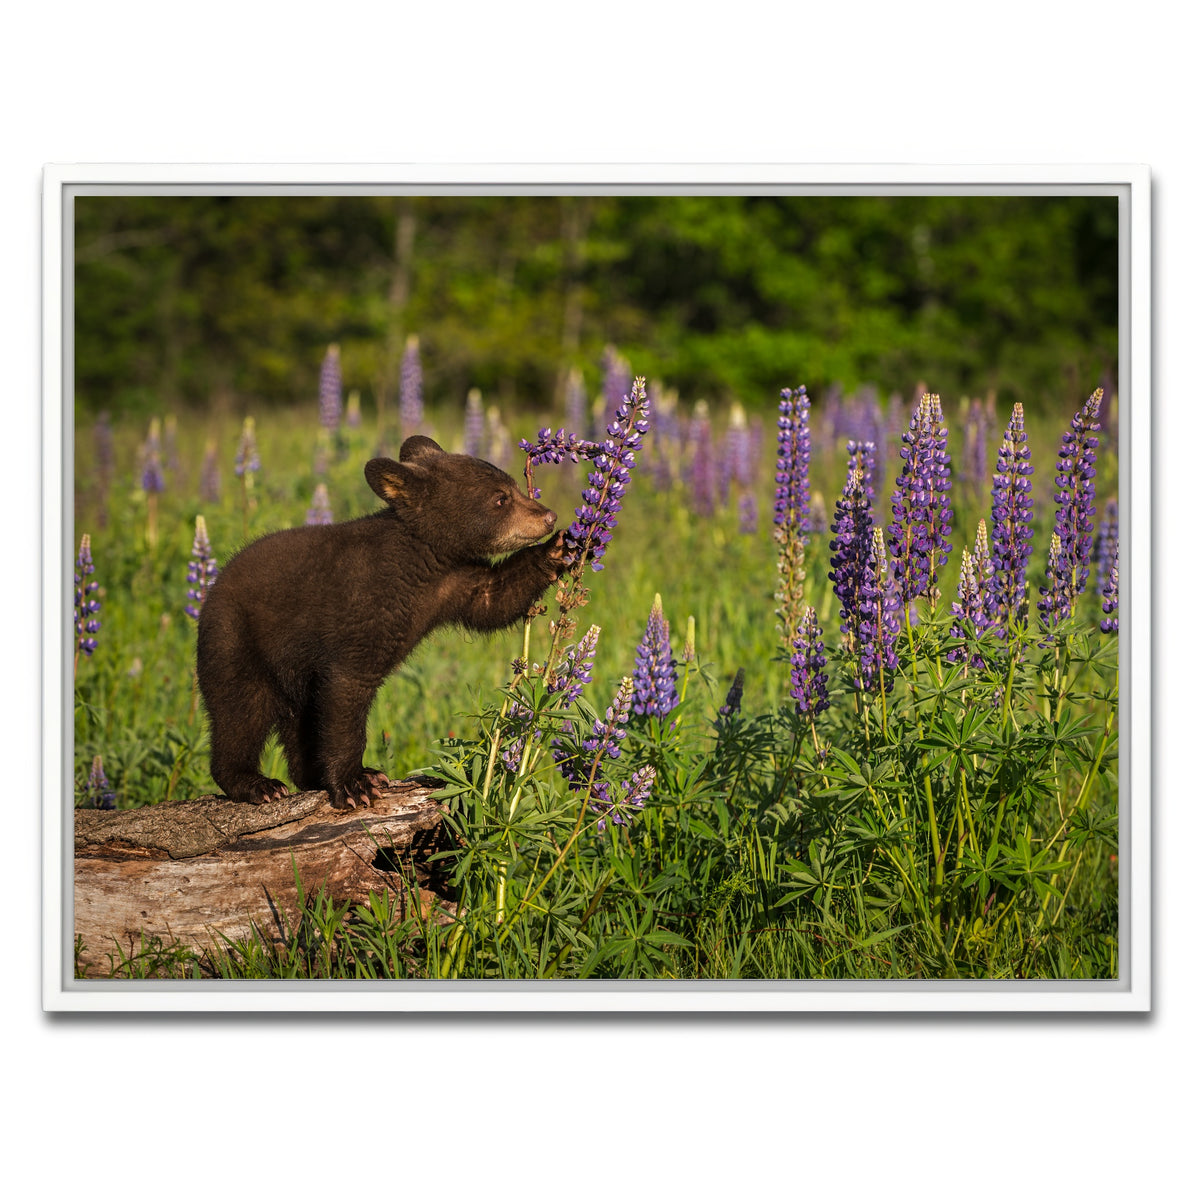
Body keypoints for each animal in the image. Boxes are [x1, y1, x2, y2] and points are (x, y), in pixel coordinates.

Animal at [196, 435, 568, 809]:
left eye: (515, 487)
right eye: (500, 498)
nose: (549, 516)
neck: (423, 561)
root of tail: (211, 592)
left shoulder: (454, 582)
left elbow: (494, 599)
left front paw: (560, 549)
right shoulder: (361, 610)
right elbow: (347, 693)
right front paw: (355, 784)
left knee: (298, 719)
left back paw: (309, 776)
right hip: (235, 642)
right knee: (241, 711)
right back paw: (257, 784)